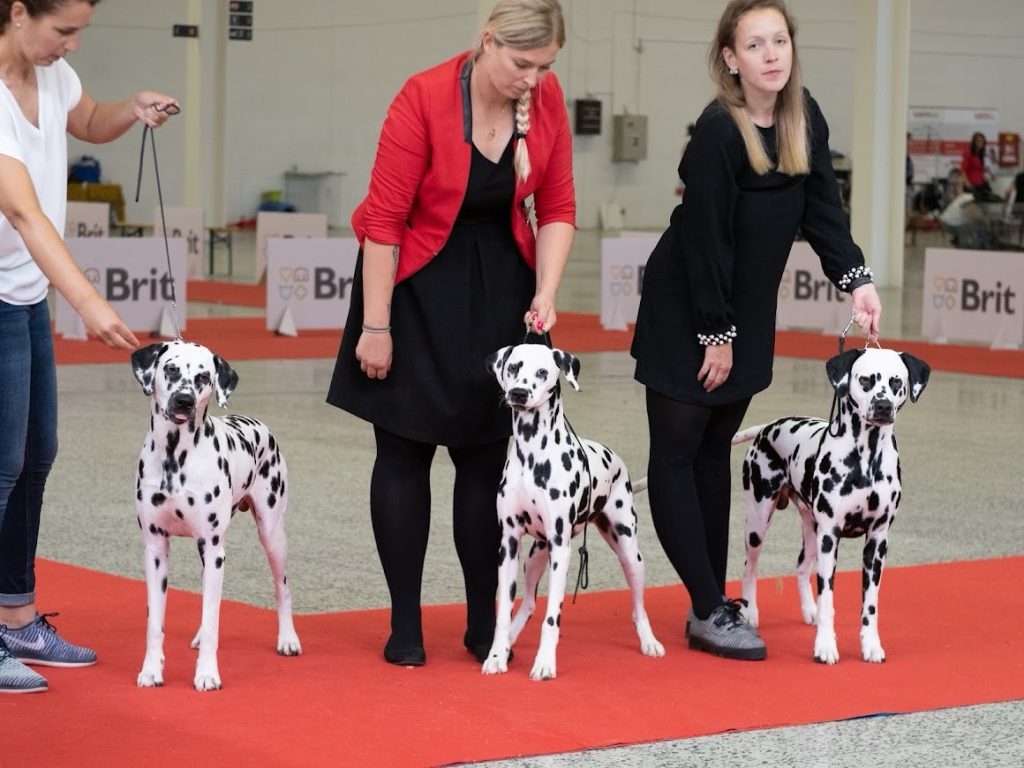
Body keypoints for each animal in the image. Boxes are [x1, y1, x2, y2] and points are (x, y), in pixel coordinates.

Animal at [131, 340, 301, 690]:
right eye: (170, 368)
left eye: (203, 376)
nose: (184, 400)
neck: (175, 457)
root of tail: (258, 424)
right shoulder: (156, 548)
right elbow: (155, 622)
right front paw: (151, 670)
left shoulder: (212, 547)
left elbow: (213, 621)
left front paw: (207, 674)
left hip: (271, 534)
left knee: (283, 587)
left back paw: (288, 639)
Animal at [482, 343, 664, 680]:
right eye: (513, 367)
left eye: (543, 371)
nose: (518, 393)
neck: (533, 455)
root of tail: (615, 457)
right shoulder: (509, 544)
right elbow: (504, 611)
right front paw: (496, 656)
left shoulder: (561, 549)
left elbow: (552, 616)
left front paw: (544, 663)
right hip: (535, 556)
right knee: (528, 603)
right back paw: (511, 640)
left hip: (629, 553)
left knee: (638, 607)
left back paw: (649, 642)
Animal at [733, 347, 930, 664]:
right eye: (865, 379)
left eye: (896, 381)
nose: (883, 406)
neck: (866, 459)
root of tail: (768, 428)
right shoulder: (831, 536)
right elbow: (828, 600)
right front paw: (825, 646)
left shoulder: (877, 540)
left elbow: (870, 605)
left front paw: (871, 645)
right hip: (759, 521)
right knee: (749, 567)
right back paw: (750, 612)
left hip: (812, 530)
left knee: (801, 567)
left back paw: (808, 611)